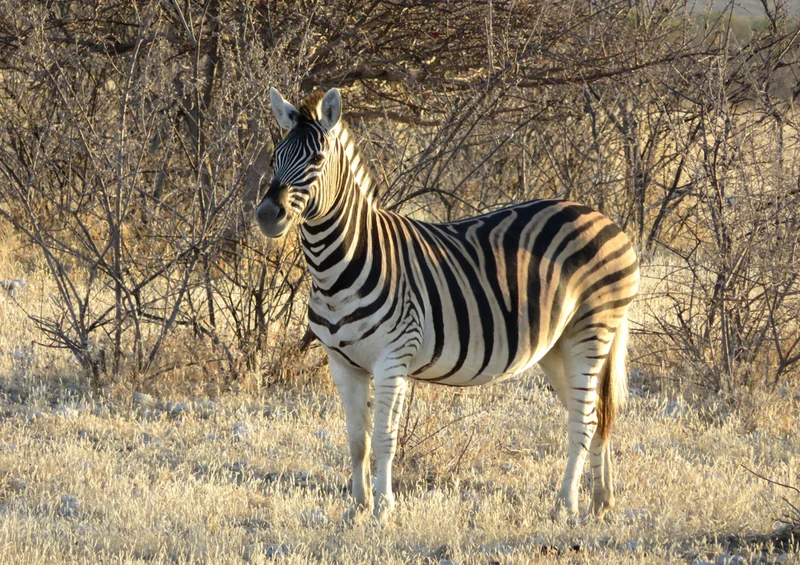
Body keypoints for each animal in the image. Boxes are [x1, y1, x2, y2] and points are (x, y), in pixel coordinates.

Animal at [255, 87, 640, 522]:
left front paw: (383, 509)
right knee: (591, 413)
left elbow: (384, 437)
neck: (338, 266)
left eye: (317, 160)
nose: (267, 215)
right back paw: (601, 502)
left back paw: (565, 505)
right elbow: (357, 440)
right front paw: (356, 509)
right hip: (558, 346)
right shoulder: (342, 364)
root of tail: (604, 218)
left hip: (590, 331)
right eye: (274, 157)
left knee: (585, 421)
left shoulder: (393, 359)